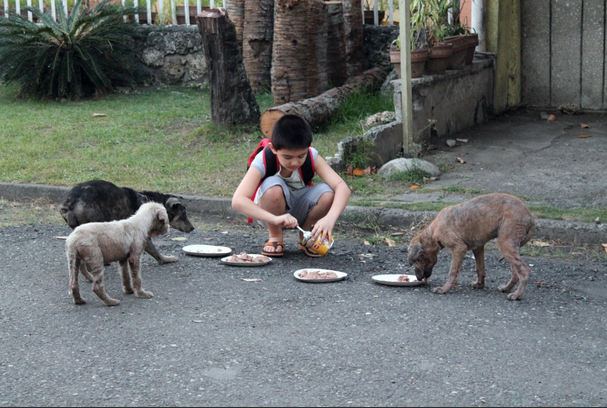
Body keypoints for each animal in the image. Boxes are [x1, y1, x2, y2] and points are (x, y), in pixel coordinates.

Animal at [59, 179, 195, 264]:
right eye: (183, 215)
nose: (193, 228)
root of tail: (71, 203)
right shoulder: (142, 234)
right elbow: (153, 250)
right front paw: (165, 259)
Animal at [408, 193, 536, 302]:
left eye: (417, 260)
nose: (418, 278)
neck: (433, 233)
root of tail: (530, 217)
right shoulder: (478, 248)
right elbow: (480, 268)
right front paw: (479, 284)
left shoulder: (459, 248)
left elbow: (452, 271)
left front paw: (444, 289)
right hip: (510, 247)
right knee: (515, 272)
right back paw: (507, 288)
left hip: (505, 243)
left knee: (523, 271)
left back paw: (517, 295)